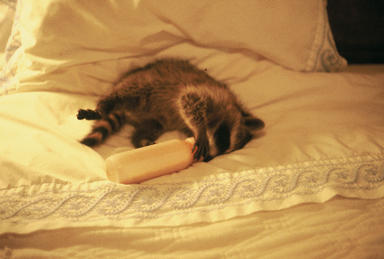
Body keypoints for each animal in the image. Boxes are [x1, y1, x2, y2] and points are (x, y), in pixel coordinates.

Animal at [78, 58, 264, 162]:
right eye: (221, 137)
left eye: (225, 152)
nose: (208, 159)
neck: (230, 107)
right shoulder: (207, 94)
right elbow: (187, 101)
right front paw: (200, 129)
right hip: (143, 84)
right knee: (125, 93)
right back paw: (104, 106)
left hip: (154, 118)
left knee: (149, 127)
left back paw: (141, 140)